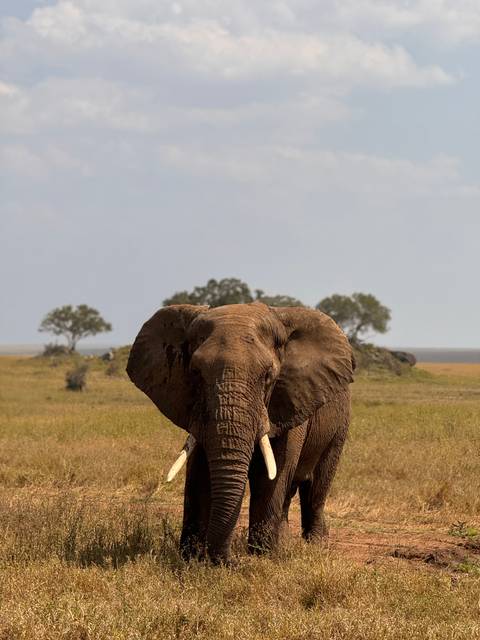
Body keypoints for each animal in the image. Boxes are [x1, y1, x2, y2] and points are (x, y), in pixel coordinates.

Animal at [127, 302, 355, 564]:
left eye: (268, 376)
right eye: (195, 372)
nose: (229, 561)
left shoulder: (289, 399)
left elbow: (273, 473)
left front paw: (262, 557)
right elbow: (199, 471)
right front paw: (191, 558)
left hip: (339, 425)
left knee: (316, 487)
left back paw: (314, 545)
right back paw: (285, 542)